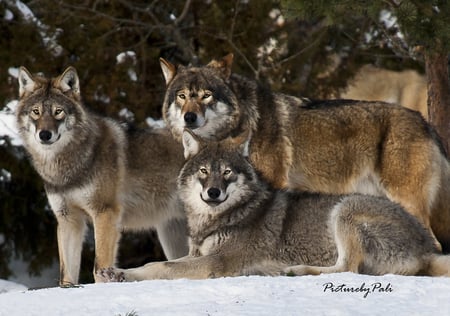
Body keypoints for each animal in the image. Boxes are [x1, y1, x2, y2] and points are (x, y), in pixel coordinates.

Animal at [15, 67, 188, 286]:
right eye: (36, 112)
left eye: (58, 111)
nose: (45, 135)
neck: (68, 169)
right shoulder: (68, 220)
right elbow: (66, 276)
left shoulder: (105, 213)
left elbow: (99, 267)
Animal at [96, 131, 450, 282]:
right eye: (204, 171)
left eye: (227, 172)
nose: (213, 192)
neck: (219, 218)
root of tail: (426, 248)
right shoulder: (196, 254)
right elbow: (155, 263)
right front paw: (117, 273)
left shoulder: (215, 264)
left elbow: (161, 268)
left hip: (345, 207)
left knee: (348, 269)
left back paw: (295, 270)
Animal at [157, 54, 450, 252]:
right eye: (182, 96)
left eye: (206, 95)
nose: (190, 117)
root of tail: (425, 123)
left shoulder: (272, 184)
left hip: (405, 200)